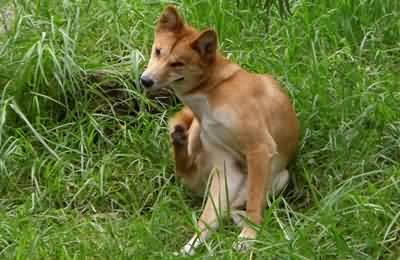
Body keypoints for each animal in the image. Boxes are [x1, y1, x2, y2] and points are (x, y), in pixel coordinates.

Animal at [139, 5, 298, 254]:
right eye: (158, 51)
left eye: (177, 63)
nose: (145, 81)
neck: (212, 91)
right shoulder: (226, 168)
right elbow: (204, 222)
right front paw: (190, 248)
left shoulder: (260, 148)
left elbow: (254, 205)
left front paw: (248, 238)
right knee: (191, 182)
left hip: (280, 177)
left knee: (235, 209)